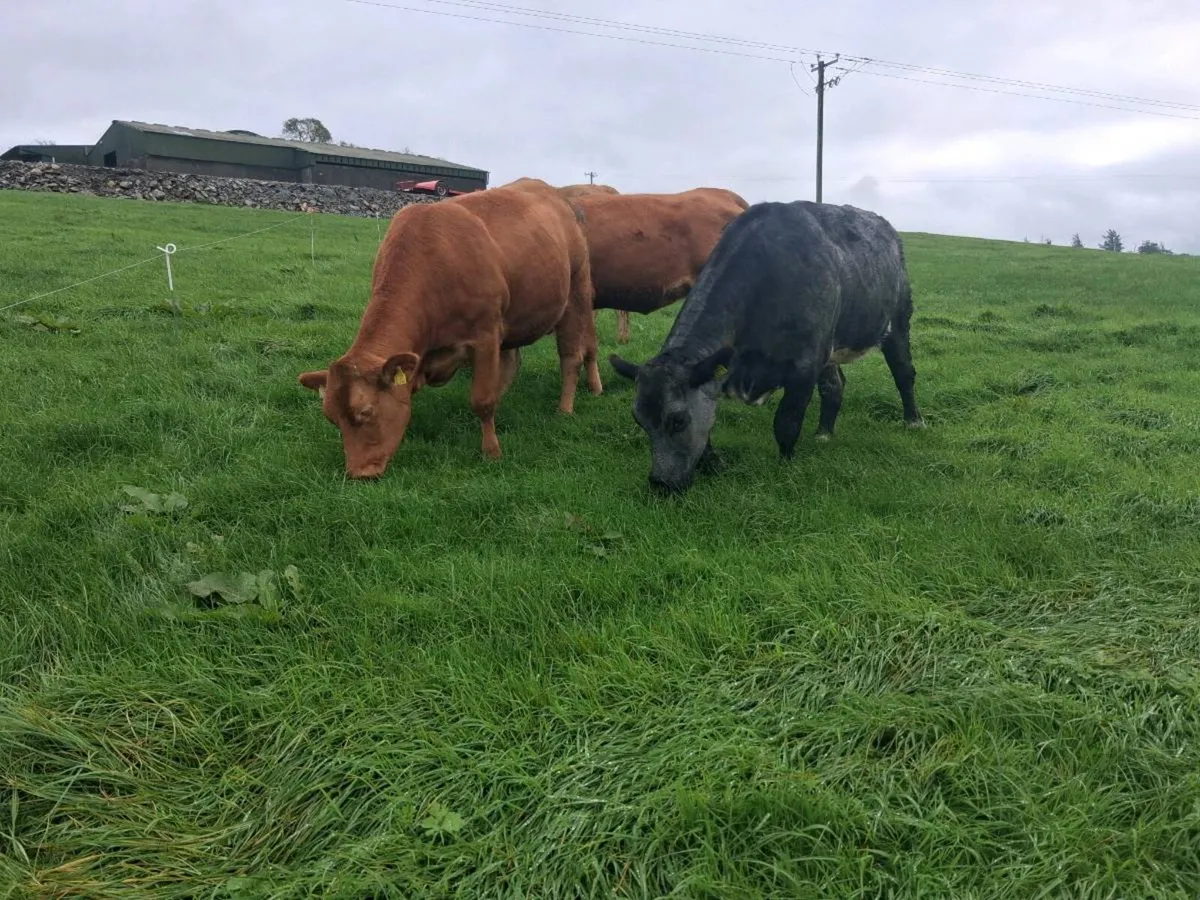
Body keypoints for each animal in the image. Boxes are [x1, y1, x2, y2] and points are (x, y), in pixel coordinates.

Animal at [297, 178, 601, 478]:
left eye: (366, 412)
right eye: (332, 418)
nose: (359, 473)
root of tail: (555, 194)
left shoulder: (485, 335)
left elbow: (482, 399)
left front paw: (492, 452)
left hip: (577, 291)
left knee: (573, 355)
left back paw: (566, 407)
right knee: (511, 363)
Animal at [609, 200, 924, 495]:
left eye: (678, 420)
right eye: (639, 419)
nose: (660, 483)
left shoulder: (805, 365)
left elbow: (786, 422)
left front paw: (786, 466)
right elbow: (708, 426)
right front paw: (714, 465)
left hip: (897, 320)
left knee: (903, 373)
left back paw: (913, 421)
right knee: (833, 386)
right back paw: (824, 433)